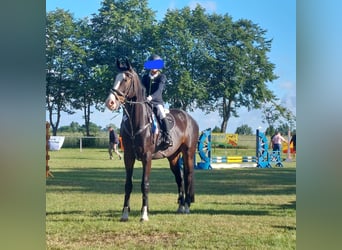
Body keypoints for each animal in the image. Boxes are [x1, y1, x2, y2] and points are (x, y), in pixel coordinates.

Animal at [105, 59, 199, 222]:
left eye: (126, 79)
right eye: (115, 78)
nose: (110, 102)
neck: (137, 122)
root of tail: (190, 119)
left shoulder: (146, 157)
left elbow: (145, 184)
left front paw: (144, 214)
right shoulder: (129, 157)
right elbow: (128, 184)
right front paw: (125, 213)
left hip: (188, 153)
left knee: (188, 176)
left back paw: (187, 206)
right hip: (173, 157)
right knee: (179, 178)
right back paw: (180, 206)